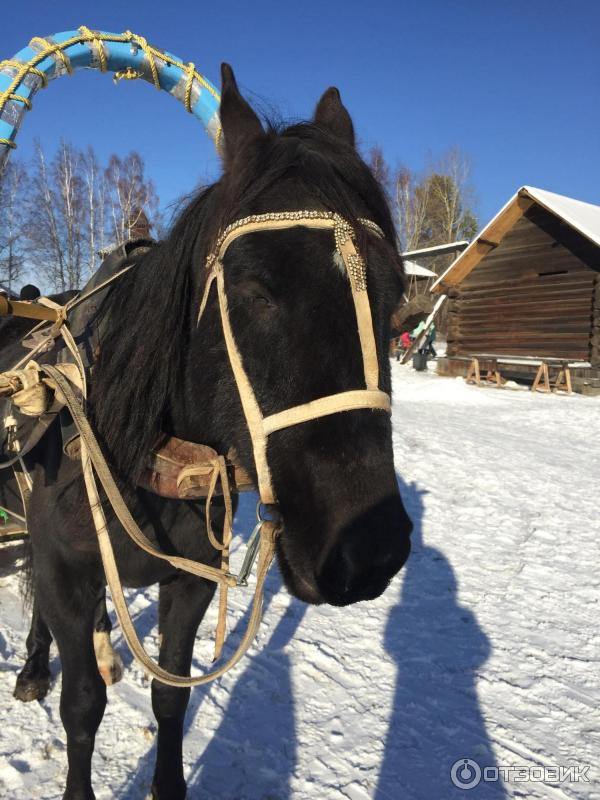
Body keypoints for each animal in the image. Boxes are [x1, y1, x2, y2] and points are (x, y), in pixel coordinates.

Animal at [5, 67, 412, 800]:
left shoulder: (190, 581)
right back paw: (33, 666)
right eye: (255, 289)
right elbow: (81, 705)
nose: (369, 551)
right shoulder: (62, 569)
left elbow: (171, 697)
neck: (137, 454)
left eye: (396, 296)